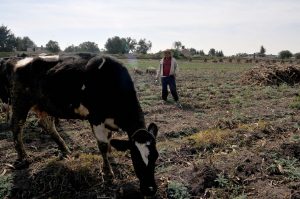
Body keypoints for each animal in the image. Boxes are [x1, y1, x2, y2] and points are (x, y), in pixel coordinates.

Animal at [4, 53, 159, 197]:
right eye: (135, 158)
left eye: (156, 157)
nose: (150, 189)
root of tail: (21, 61)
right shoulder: (96, 119)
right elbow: (102, 145)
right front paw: (108, 172)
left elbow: (109, 140)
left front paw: (110, 156)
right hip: (20, 101)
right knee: (16, 126)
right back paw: (23, 157)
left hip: (44, 105)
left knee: (47, 124)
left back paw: (64, 149)